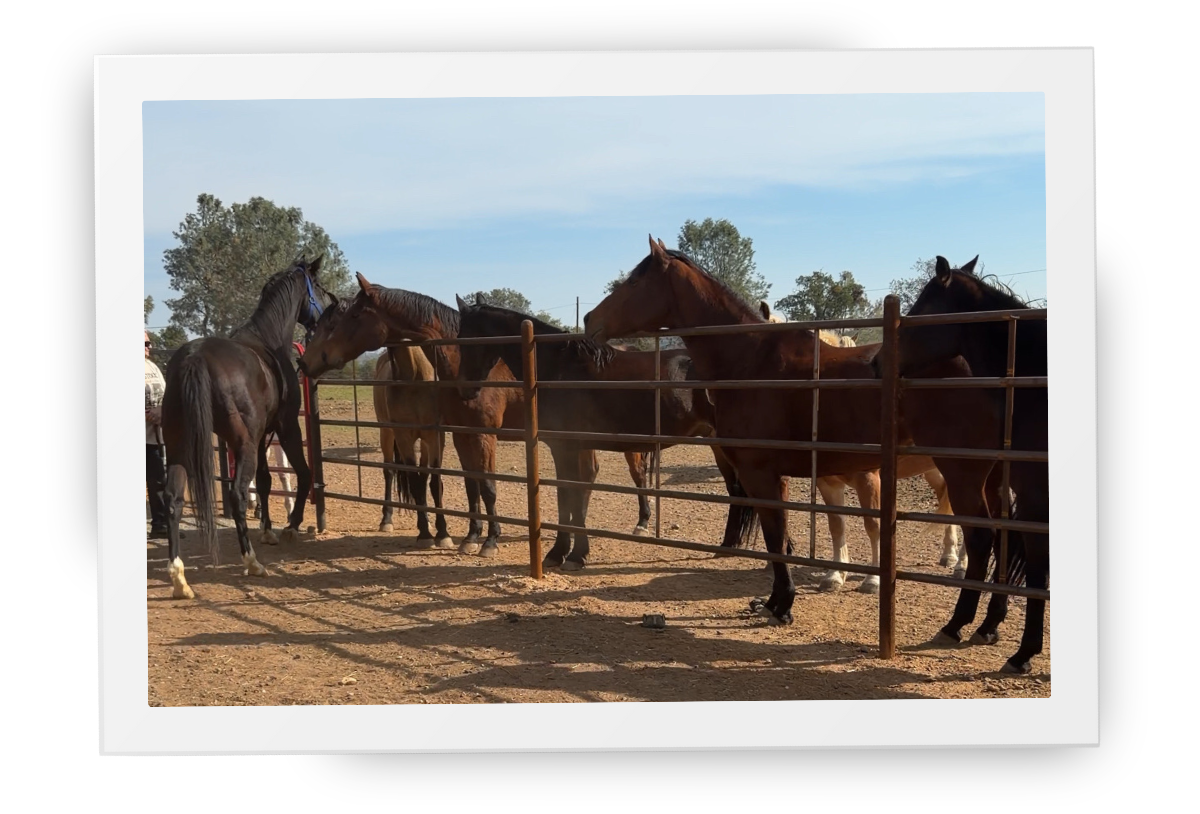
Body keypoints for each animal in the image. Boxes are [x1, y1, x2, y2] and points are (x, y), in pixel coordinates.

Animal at [160, 255, 336, 600]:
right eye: (319, 285)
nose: (331, 305)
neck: (267, 340)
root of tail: (193, 358)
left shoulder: (261, 435)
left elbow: (266, 480)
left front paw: (267, 529)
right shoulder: (285, 427)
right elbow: (303, 472)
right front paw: (291, 526)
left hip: (180, 445)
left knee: (173, 500)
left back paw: (179, 578)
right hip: (242, 443)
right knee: (237, 494)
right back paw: (252, 562)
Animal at [296, 273, 689, 557]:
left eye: (348, 317)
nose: (306, 362)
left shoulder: (484, 435)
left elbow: (487, 487)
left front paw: (490, 541)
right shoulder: (459, 434)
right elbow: (471, 486)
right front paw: (471, 536)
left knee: (627, 474)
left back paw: (636, 525)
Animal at [453, 295, 749, 571]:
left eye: (464, 339)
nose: (465, 390)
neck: (558, 368)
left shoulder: (566, 447)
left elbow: (571, 497)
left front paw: (569, 554)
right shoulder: (567, 447)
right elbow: (567, 496)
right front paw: (565, 553)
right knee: (736, 490)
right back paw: (727, 546)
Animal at [758, 300, 968, 587]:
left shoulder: (870, 480)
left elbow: (874, 526)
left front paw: (873, 579)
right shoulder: (827, 482)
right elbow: (836, 524)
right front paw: (835, 574)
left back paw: (963, 566)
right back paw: (949, 555)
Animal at [878, 255, 1048, 675]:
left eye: (920, 309)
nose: (877, 362)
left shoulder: (1036, 493)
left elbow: (1038, 567)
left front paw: (1025, 653)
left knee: (984, 537)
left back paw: (960, 622)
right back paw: (985, 624)